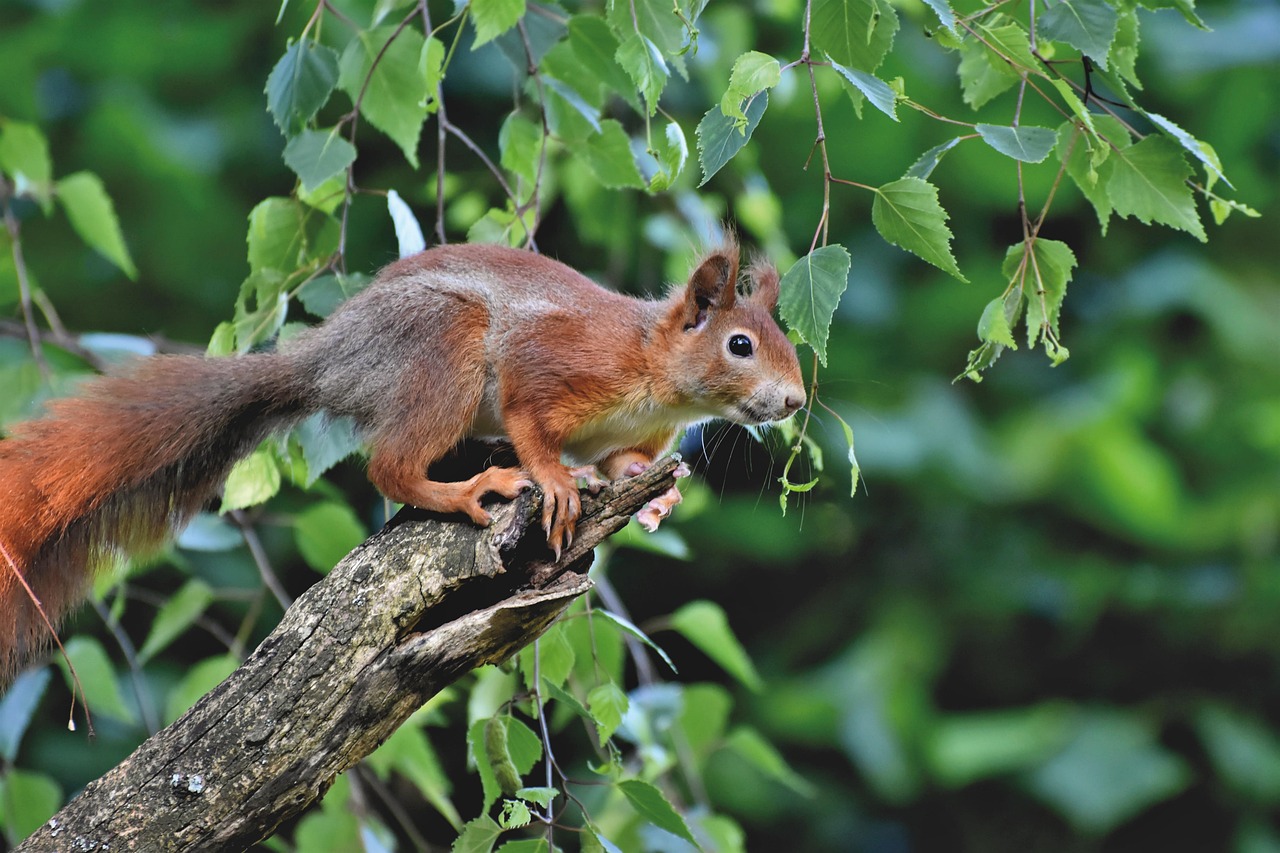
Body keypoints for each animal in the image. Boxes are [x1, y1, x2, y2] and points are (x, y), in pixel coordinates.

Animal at [0, 239, 805, 680]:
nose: (797, 400)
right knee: (389, 467)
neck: (656, 375)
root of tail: (333, 360)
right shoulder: (554, 362)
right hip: (442, 345)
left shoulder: (630, 435)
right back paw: (470, 489)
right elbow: (531, 418)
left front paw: (653, 494)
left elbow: (622, 466)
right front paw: (554, 478)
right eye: (740, 345)